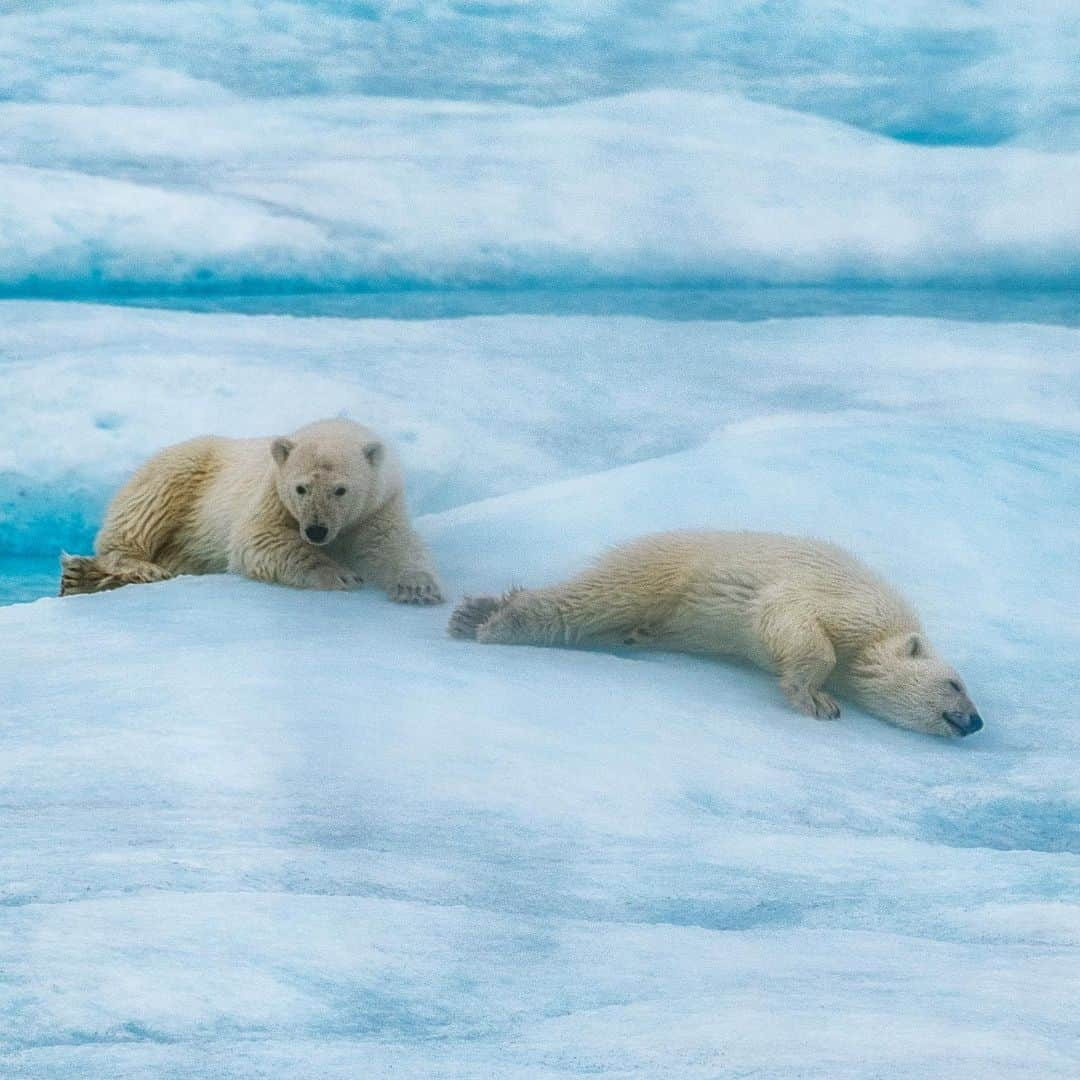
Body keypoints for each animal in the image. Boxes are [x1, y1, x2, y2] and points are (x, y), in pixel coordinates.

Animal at [56, 416, 444, 604]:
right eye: (300, 488)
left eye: (340, 490)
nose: (315, 530)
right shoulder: (271, 495)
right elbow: (258, 539)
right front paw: (339, 574)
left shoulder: (380, 503)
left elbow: (391, 543)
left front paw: (418, 589)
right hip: (189, 468)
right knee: (145, 509)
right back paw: (131, 568)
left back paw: (82, 578)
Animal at [451, 529, 984, 738]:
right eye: (955, 684)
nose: (977, 721)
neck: (879, 635)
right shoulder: (847, 602)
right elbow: (790, 619)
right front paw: (816, 699)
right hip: (664, 566)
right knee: (591, 600)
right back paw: (492, 621)